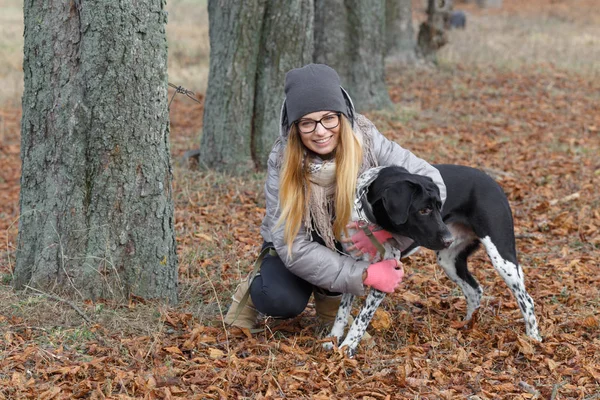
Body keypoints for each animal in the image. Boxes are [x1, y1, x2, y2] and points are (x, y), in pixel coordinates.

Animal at [324, 164, 544, 358]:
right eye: (424, 210)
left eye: (439, 207)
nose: (448, 240)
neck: (367, 221)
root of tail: (493, 182)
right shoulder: (354, 267)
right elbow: (342, 311)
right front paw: (332, 340)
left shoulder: (386, 275)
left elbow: (361, 319)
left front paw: (347, 348)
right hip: (449, 260)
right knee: (474, 290)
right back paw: (467, 325)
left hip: (501, 257)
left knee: (526, 300)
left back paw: (533, 339)